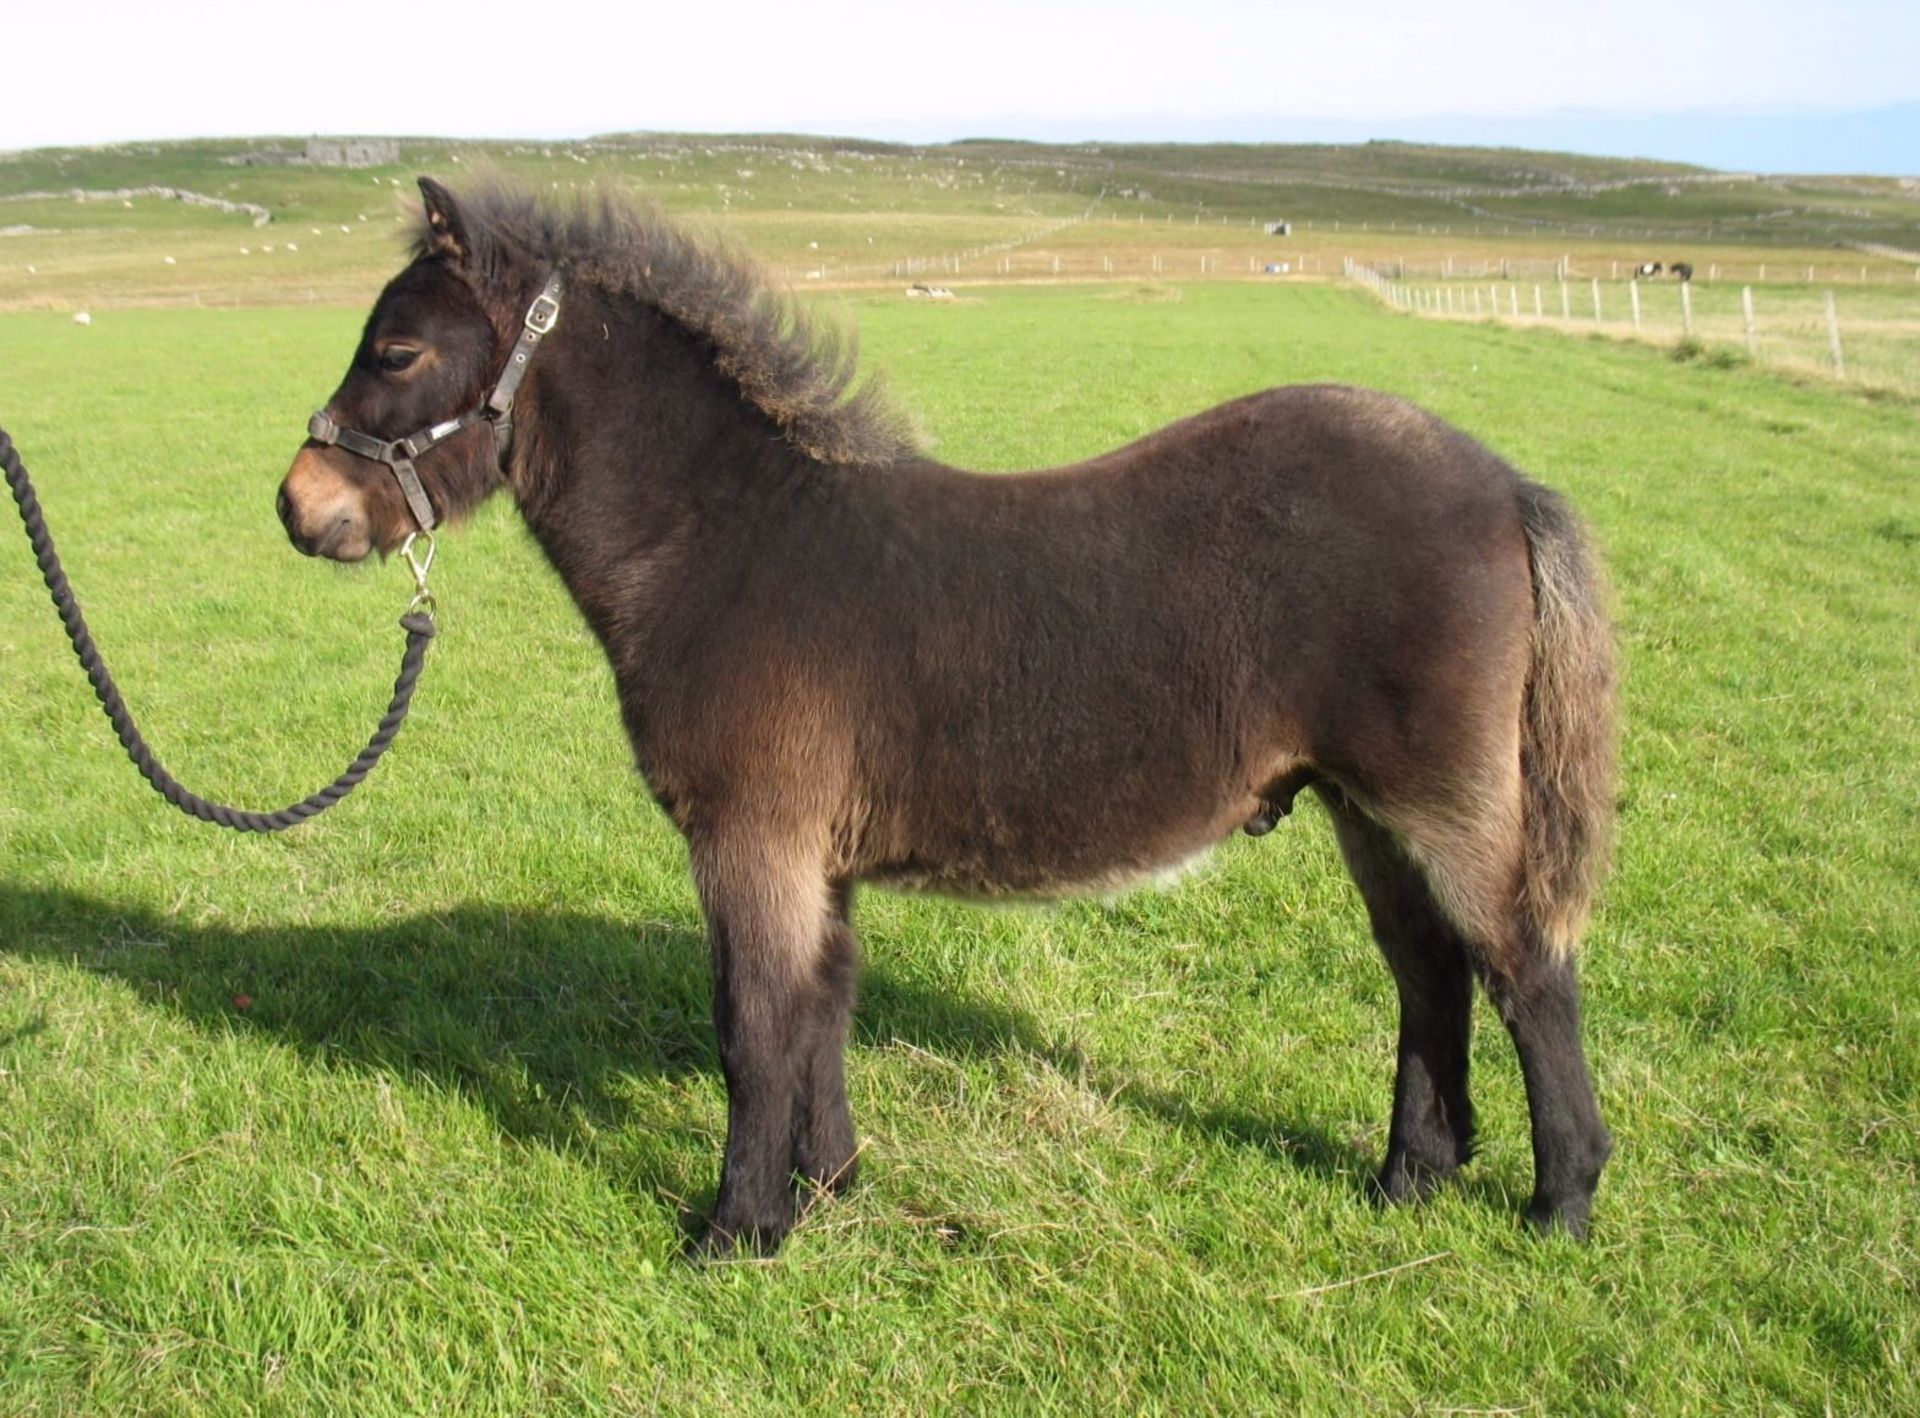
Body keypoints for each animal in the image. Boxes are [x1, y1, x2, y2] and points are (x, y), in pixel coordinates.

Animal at [274, 183, 1620, 1258]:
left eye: (396, 348)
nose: (299, 506)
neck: (727, 540)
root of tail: (1503, 483)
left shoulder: (750, 839)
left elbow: (752, 1025)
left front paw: (734, 1231)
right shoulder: (815, 855)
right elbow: (821, 1008)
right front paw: (827, 1187)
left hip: (1438, 799)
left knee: (1522, 966)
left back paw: (1560, 1203)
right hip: (1362, 804)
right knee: (1430, 969)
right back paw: (1409, 1179)